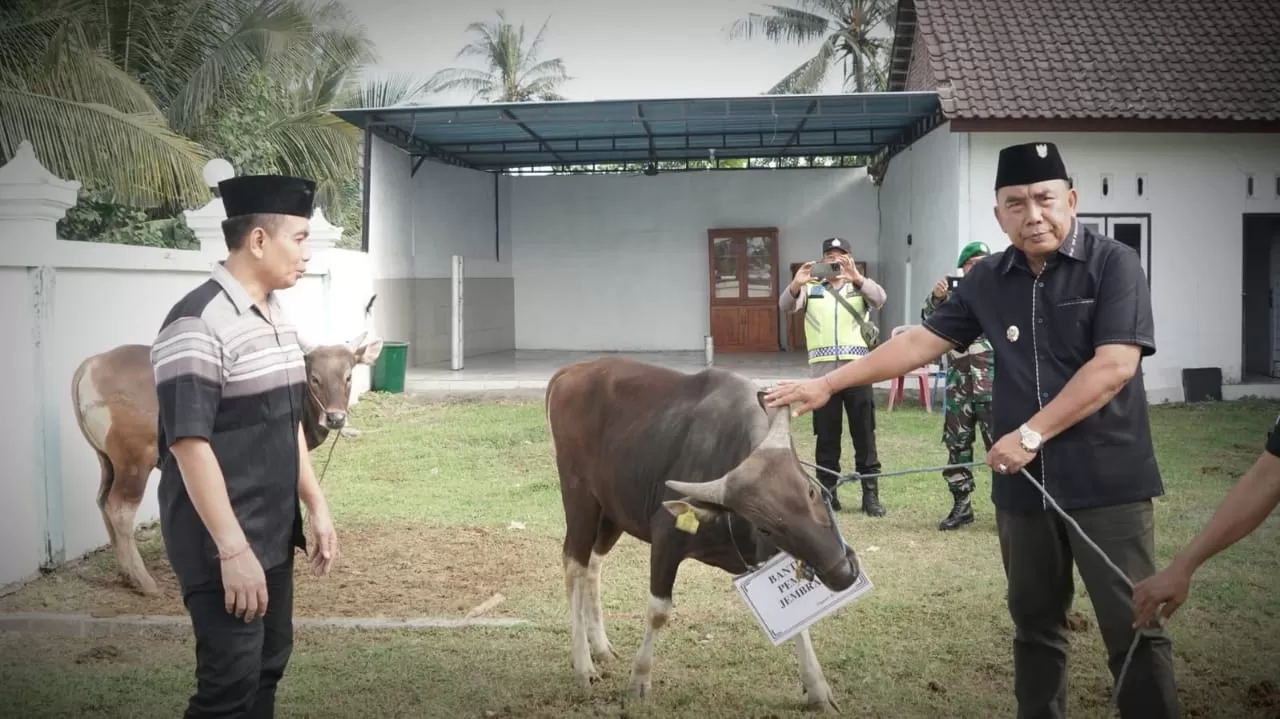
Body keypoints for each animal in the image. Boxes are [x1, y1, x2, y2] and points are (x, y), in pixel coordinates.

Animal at [70, 330, 381, 593]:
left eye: (348, 376)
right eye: (315, 377)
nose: (335, 418)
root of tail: (90, 365)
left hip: (107, 461)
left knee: (102, 501)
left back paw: (126, 574)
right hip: (134, 462)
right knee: (119, 509)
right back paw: (143, 580)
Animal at [542, 355, 860, 706]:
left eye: (811, 492)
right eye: (766, 527)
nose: (843, 572)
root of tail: (573, 370)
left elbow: (793, 617)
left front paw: (817, 687)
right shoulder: (666, 539)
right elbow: (658, 612)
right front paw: (639, 682)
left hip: (613, 510)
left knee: (593, 564)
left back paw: (600, 648)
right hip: (579, 497)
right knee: (574, 564)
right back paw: (584, 665)